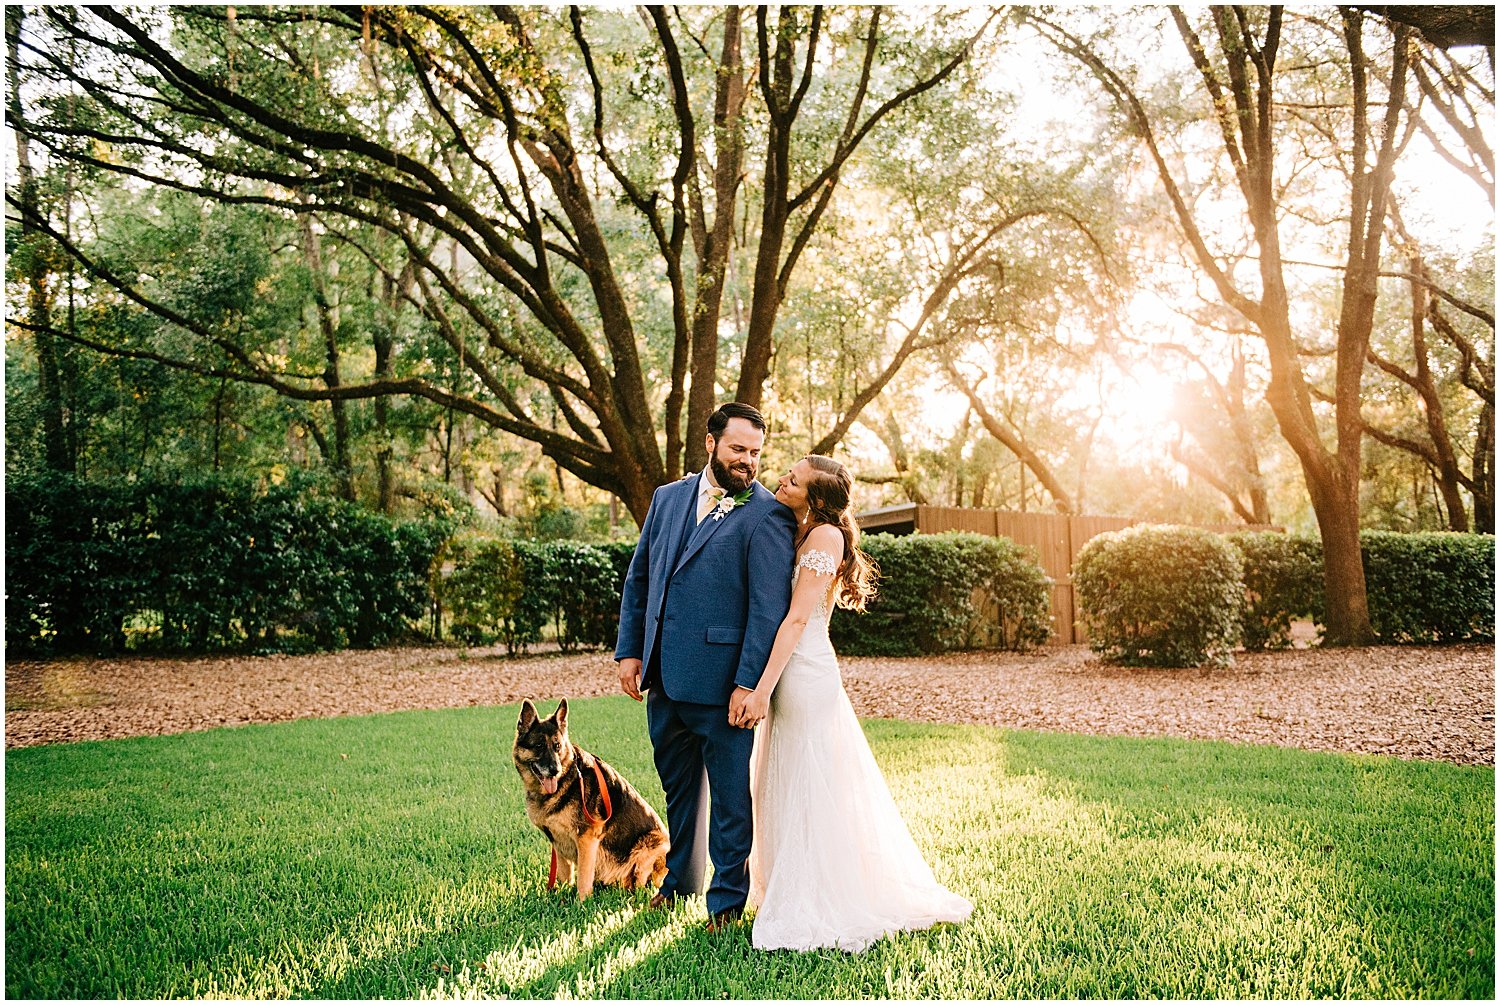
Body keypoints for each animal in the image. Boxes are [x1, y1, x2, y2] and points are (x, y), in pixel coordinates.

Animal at [513, 702, 672, 906]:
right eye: (539, 746)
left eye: (557, 746)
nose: (555, 770)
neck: (568, 779)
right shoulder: (557, 841)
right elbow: (564, 875)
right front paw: (561, 896)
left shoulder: (586, 839)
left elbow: (582, 876)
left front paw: (581, 903)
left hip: (651, 845)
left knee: (643, 885)